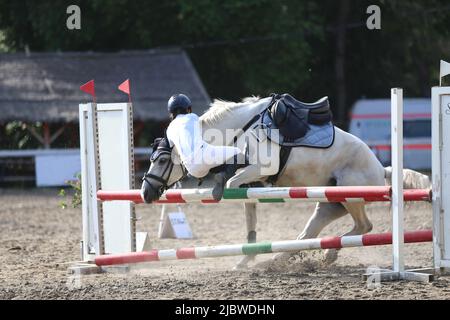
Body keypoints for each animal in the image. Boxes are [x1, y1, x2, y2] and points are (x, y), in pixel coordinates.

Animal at [142, 96, 432, 268]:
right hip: (329, 203)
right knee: (310, 233)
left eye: (161, 160)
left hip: (350, 196)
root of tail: (381, 168)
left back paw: (328, 254)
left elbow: (234, 183)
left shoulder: (258, 169)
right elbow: (247, 209)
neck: (241, 130)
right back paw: (281, 258)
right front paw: (246, 258)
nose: (146, 192)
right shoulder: (252, 178)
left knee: (364, 226)